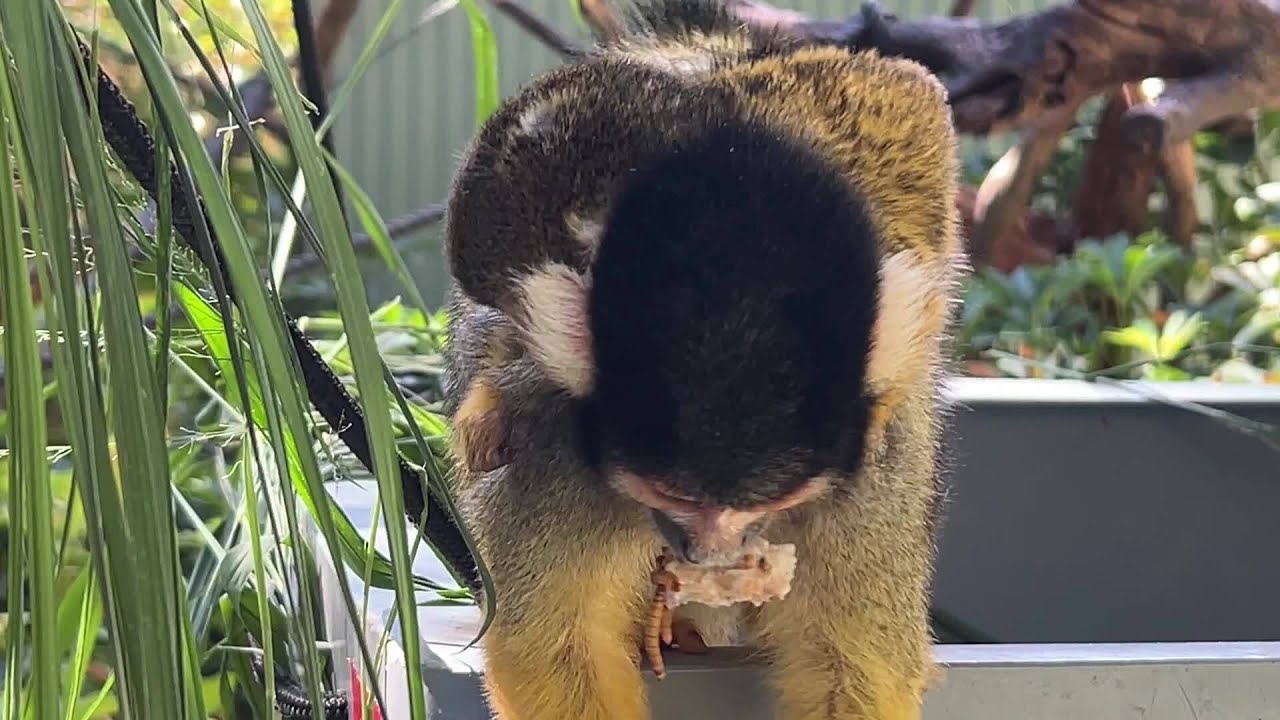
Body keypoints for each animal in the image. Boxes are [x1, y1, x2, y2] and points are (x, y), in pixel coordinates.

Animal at [440, 0, 966, 717]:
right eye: (668, 494)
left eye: (778, 496)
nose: (709, 551)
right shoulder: (553, 446)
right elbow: (551, 645)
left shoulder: (872, 475)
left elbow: (858, 660)